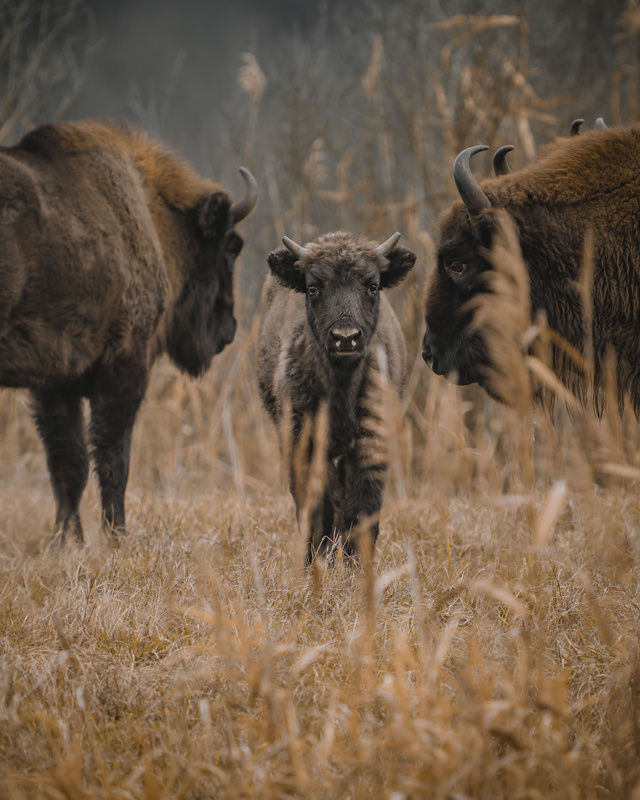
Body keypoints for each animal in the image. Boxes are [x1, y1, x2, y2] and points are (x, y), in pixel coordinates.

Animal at [0, 120, 257, 543]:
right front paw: (116, 537)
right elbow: (112, 459)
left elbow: (68, 464)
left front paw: (67, 541)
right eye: (231, 247)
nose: (229, 329)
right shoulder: (124, 369)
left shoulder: (56, 383)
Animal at [258, 231, 415, 563]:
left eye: (372, 285)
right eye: (313, 287)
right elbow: (317, 510)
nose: (345, 338)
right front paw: (315, 565)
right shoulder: (302, 443)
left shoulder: (370, 443)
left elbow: (362, 509)